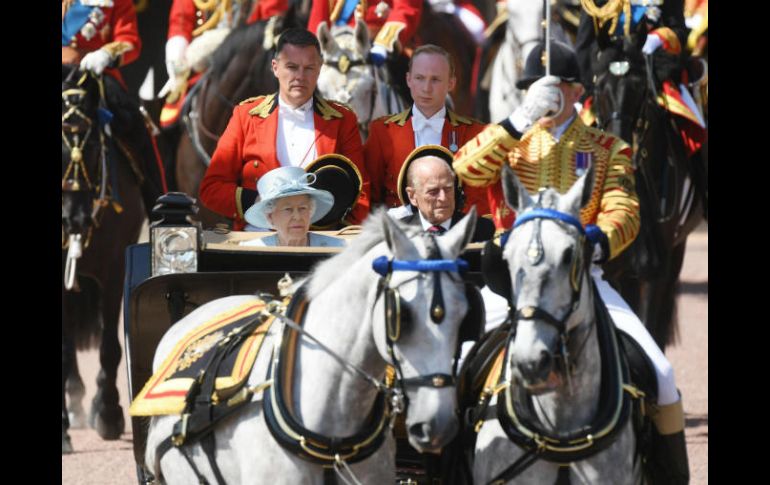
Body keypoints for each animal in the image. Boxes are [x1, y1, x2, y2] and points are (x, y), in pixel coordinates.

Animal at [592, 36, 704, 350]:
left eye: (641, 89)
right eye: (598, 86)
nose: (619, 146)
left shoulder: (655, 272)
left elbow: (650, 328)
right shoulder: (612, 268)